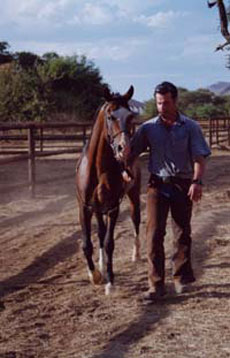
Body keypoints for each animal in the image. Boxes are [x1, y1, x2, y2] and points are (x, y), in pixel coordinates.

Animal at [76, 85, 140, 296]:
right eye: (111, 116)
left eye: (130, 116)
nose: (124, 149)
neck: (98, 169)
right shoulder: (85, 208)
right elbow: (88, 243)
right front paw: (95, 275)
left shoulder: (113, 208)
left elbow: (109, 243)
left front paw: (110, 282)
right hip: (97, 209)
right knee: (100, 233)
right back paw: (101, 266)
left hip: (133, 196)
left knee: (135, 220)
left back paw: (136, 255)